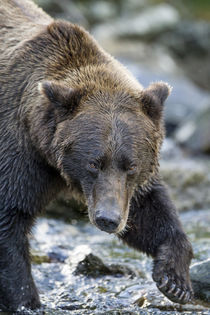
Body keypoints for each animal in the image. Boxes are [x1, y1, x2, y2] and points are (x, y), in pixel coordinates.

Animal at [0, 0, 194, 312]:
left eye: (131, 165)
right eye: (93, 163)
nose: (107, 219)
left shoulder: (125, 187)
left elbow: (147, 208)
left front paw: (174, 280)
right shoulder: (19, 150)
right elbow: (10, 219)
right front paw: (27, 301)